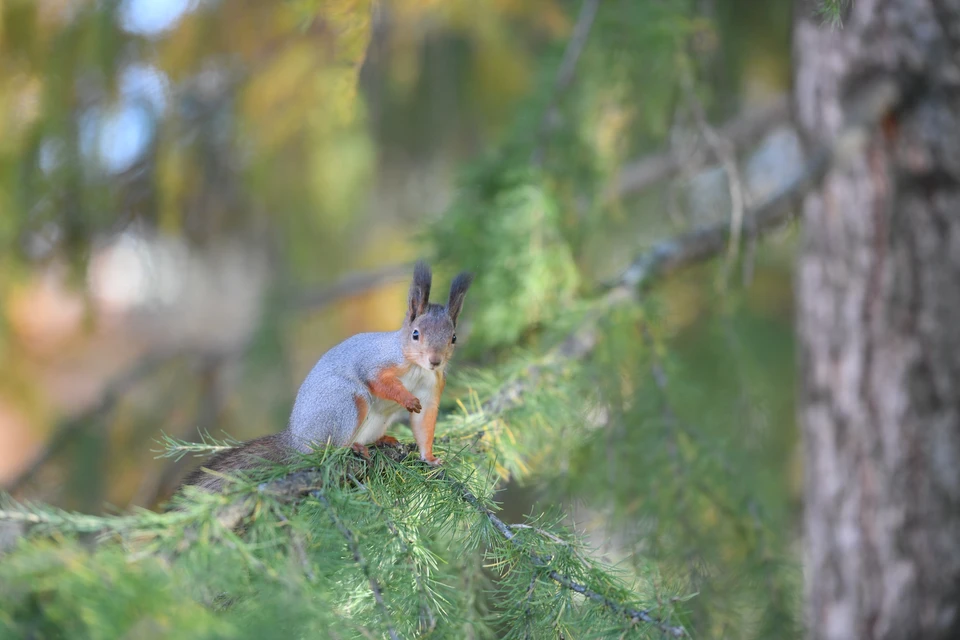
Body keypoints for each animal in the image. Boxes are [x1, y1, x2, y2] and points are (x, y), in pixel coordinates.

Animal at [180, 262, 472, 492]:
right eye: (415, 334)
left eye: (453, 338)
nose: (435, 360)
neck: (417, 368)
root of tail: (297, 441)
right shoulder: (376, 362)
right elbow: (378, 381)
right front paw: (406, 399)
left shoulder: (433, 387)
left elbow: (424, 425)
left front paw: (430, 458)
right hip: (344, 403)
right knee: (329, 447)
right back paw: (350, 448)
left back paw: (381, 440)